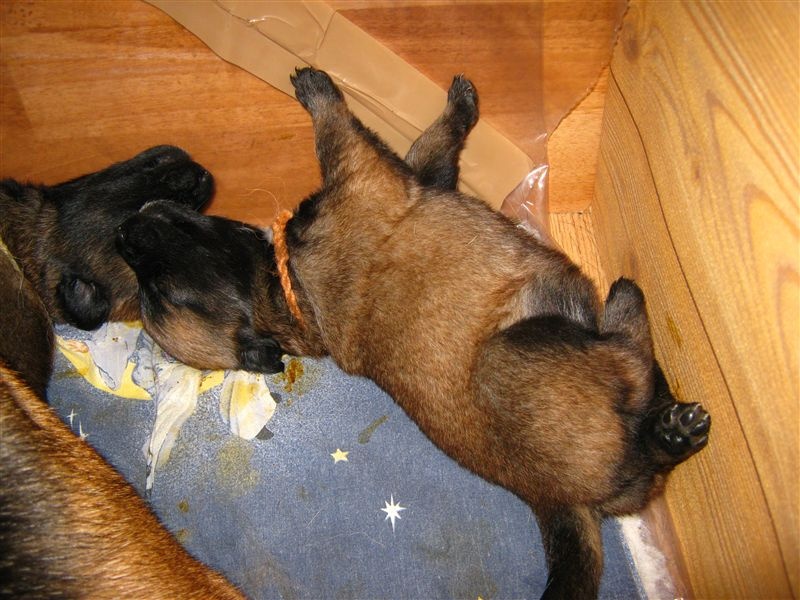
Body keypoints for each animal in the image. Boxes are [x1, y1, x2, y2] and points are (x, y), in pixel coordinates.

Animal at [117, 69, 711, 599]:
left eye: (155, 290)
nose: (124, 230)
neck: (287, 291)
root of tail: (562, 503)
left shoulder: (418, 178)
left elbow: (431, 143)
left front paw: (458, 102)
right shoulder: (370, 174)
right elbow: (340, 129)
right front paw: (315, 85)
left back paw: (671, 427)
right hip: (517, 350)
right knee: (632, 365)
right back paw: (644, 350)